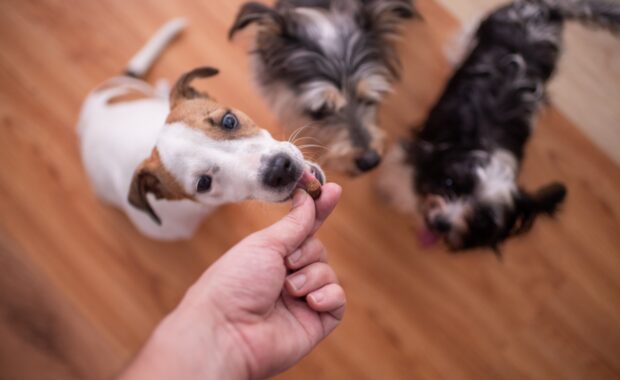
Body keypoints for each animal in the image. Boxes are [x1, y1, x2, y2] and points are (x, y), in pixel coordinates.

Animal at [380, 0, 616, 254]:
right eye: (450, 183)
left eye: (482, 219)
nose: (442, 224)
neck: (482, 144)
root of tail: (547, 8)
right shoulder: (427, 146)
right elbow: (406, 169)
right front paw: (397, 193)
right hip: (489, 22)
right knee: (471, 35)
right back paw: (457, 54)